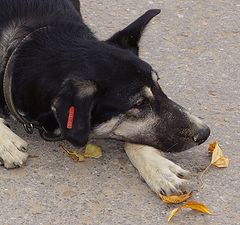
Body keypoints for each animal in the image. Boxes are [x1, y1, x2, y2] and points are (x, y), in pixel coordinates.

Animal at [0, 0, 210, 195]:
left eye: (158, 85)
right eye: (139, 103)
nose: (205, 132)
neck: (25, 47)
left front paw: (158, 167)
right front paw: (6, 142)